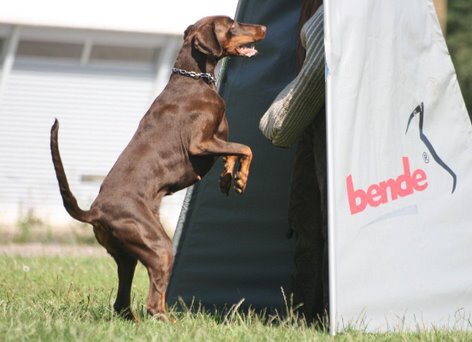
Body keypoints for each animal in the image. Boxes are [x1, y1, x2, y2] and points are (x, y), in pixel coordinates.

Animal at [50, 16, 268, 320]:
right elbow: (246, 148)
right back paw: (169, 322)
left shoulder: (217, 141)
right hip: (158, 245)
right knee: (154, 303)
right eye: (232, 24)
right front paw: (240, 180)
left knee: (122, 303)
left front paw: (228, 177)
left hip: (127, 255)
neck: (194, 79)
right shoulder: (200, 143)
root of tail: (95, 212)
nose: (264, 28)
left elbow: (233, 151)